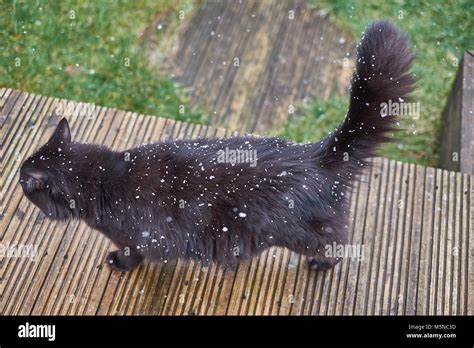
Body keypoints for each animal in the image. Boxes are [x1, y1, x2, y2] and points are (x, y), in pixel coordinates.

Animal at [18, 21, 412, 272]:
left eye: (24, 182)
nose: (18, 177)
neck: (105, 179)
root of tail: (315, 155)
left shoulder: (134, 238)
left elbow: (132, 255)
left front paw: (118, 264)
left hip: (301, 233)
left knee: (336, 242)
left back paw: (320, 264)